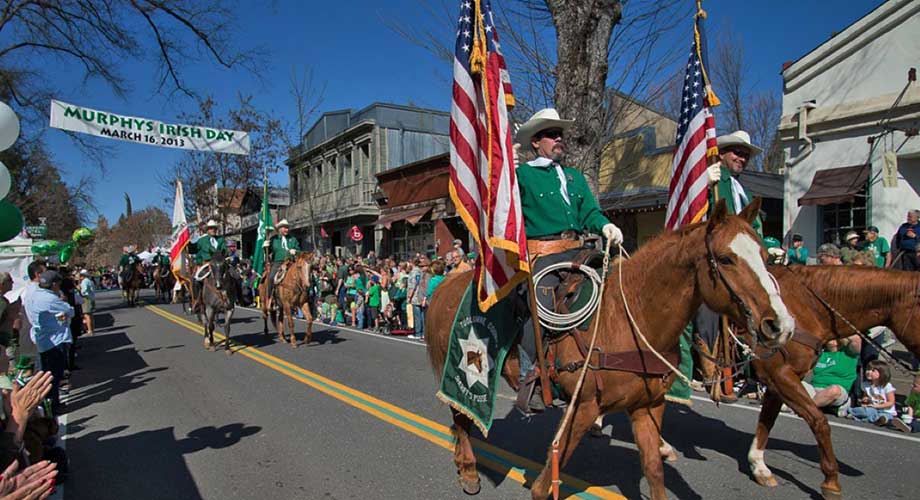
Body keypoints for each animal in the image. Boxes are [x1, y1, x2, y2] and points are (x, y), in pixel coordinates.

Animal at [424, 199, 792, 500]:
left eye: (764, 256)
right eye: (726, 259)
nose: (781, 325)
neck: (632, 318)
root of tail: (446, 284)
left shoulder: (648, 406)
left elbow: (654, 472)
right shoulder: (583, 409)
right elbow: (545, 486)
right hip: (459, 370)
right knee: (461, 418)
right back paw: (469, 471)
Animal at [660, 264, 920, 498]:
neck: (807, 307)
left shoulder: (778, 381)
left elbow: (767, 421)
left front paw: (759, 467)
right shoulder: (781, 376)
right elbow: (819, 421)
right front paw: (831, 482)